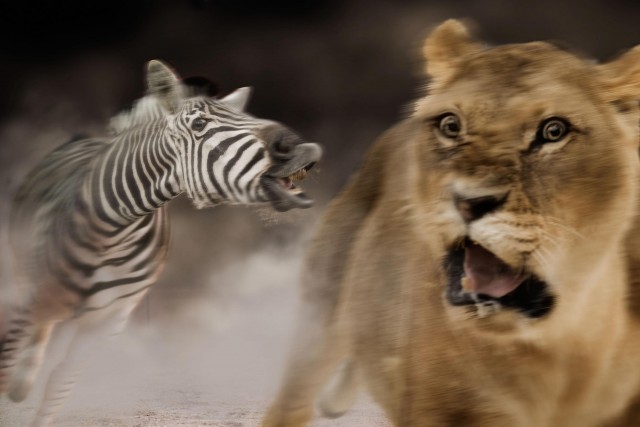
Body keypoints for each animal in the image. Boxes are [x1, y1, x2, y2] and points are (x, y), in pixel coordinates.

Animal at [0, 60, 322, 426]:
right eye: (199, 124)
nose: (297, 146)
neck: (114, 229)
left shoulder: (110, 317)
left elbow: (60, 382)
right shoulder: (35, 297)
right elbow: (6, 368)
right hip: (26, 276)